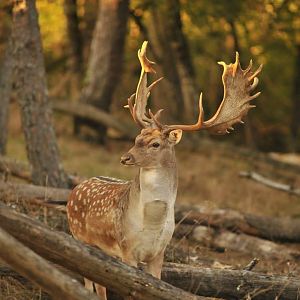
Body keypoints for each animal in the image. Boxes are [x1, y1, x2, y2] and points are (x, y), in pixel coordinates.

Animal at [67, 41, 262, 298]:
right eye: (136, 138)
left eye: (155, 144)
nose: (125, 157)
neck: (152, 223)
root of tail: (75, 189)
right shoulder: (127, 247)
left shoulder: (159, 252)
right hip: (81, 236)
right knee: (93, 283)